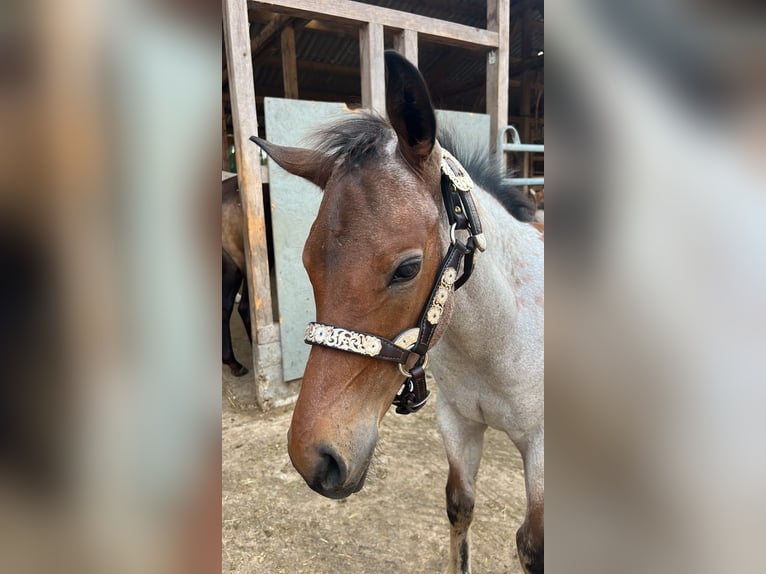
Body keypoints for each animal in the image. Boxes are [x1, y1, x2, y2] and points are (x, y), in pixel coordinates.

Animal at [251, 50, 544, 574]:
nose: (314, 457)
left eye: (407, 268)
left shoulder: (542, 453)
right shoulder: (458, 424)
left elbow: (532, 546)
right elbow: (459, 506)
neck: (500, 341)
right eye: (305, 262)